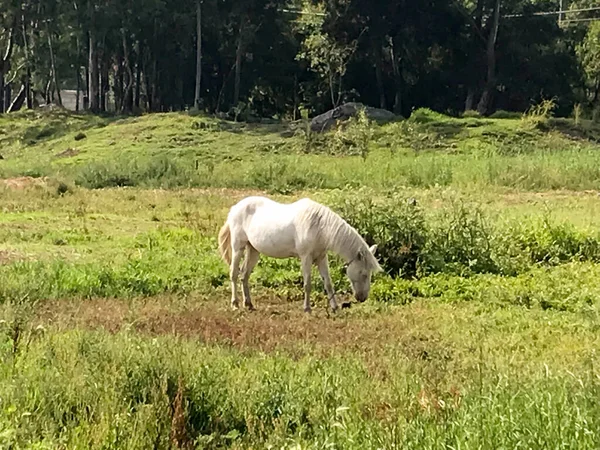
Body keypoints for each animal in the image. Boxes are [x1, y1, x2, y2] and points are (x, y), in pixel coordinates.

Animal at [218, 197, 382, 312]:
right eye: (363, 273)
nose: (362, 298)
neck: (319, 226)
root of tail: (235, 208)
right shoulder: (305, 258)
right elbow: (307, 284)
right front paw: (307, 308)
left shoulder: (321, 258)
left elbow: (328, 283)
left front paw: (335, 307)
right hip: (238, 247)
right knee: (234, 274)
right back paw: (235, 304)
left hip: (253, 250)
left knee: (244, 275)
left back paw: (249, 304)